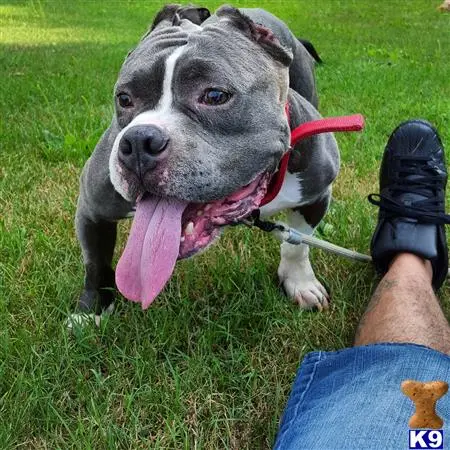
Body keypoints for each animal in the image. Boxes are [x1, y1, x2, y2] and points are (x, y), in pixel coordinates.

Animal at [74, 4, 340, 324]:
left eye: (214, 95)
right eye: (124, 98)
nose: (139, 142)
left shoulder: (316, 195)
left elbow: (296, 245)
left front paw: (300, 283)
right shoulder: (92, 207)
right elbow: (95, 263)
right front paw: (90, 311)